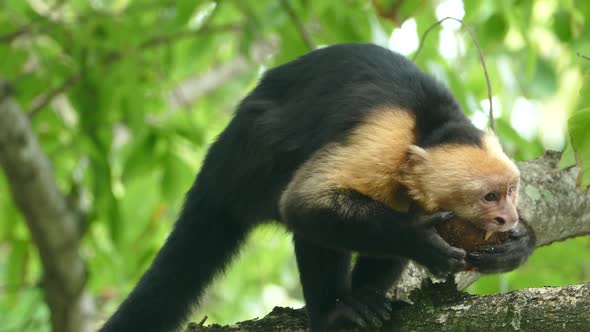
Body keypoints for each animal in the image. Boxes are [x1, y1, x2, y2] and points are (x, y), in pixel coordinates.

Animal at [102, 42, 536, 330]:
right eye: (489, 197)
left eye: (511, 191)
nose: (507, 217)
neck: (428, 129)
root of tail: (218, 160)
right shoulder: (386, 136)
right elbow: (305, 202)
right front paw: (420, 238)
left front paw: (517, 245)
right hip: (250, 164)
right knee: (305, 208)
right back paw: (333, 312)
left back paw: (365, 297)